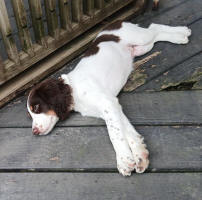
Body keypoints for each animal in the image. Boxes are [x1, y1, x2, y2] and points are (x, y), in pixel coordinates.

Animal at [26, 21, 191, 176]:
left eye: (36, 108)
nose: (34, 132)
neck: (73, 90)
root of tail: (116, 22)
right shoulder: (112, 106)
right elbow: (125, 130)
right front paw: (139, 155)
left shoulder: (107, 103)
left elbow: (114, 134)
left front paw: (124, 160)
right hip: (142, 47)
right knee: (156, 34)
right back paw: (180, 37)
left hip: (140, 37)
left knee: (154, 27)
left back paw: (182, 32)